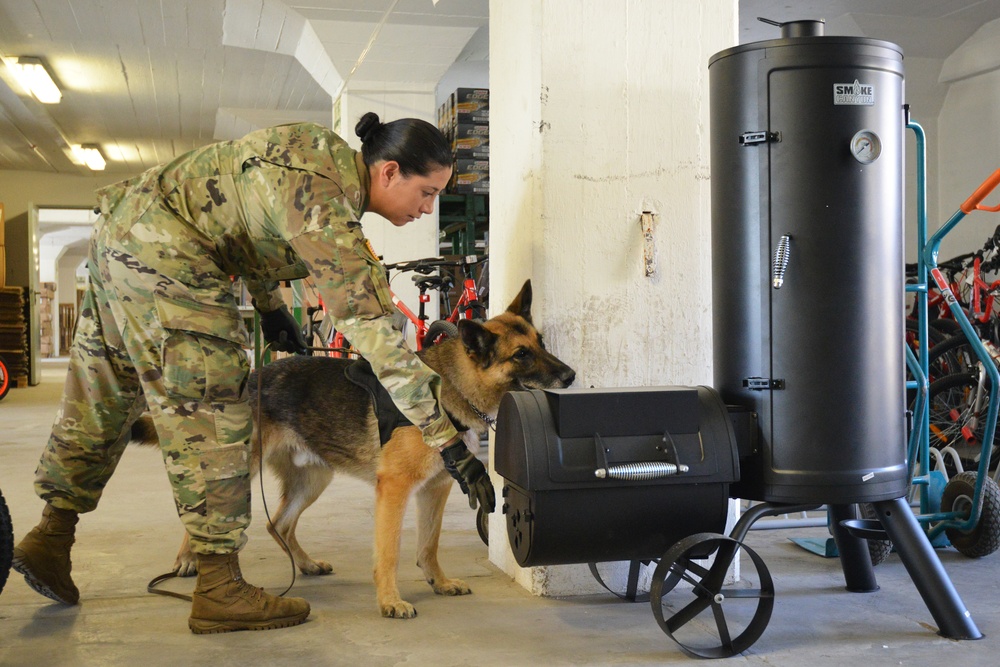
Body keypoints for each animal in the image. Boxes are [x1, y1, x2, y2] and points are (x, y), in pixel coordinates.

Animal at [144, 280, 576, 620]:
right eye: (521, 355)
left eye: (541, 344)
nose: (571, 375)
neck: (450, 391)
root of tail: (253, 377)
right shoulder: (395, 490)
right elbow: (390, 553)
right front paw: (389, 601)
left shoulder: (437, 489)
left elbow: (429, 544)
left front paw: (437, 581)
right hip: (241, 472)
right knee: (206, 517)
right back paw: (188, 560)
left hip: (315, 479)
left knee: (278, 524)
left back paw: (304, 563)